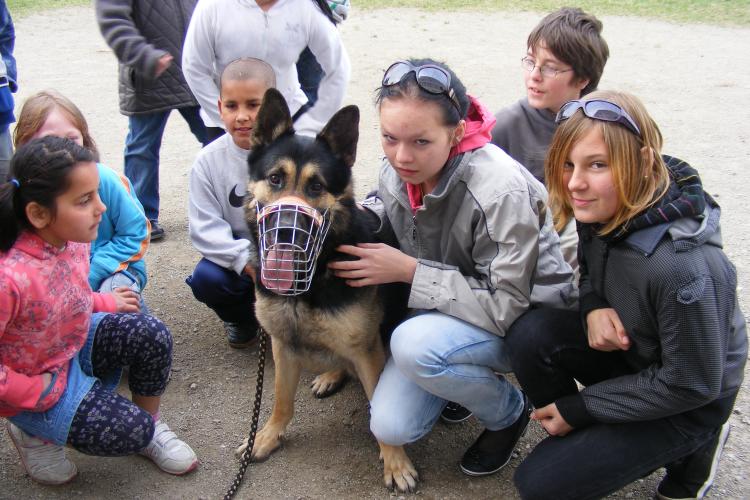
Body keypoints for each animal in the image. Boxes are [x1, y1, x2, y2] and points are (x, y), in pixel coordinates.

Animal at [235, 90, 420, 492]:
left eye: (316, 186)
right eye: (275, 178)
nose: (286, 228)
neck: (313, 277)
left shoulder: (366, 352)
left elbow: (379, 414)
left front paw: (394, 461)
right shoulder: (282, 345)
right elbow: (280, 401)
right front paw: (266, 437)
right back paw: (331, 374)